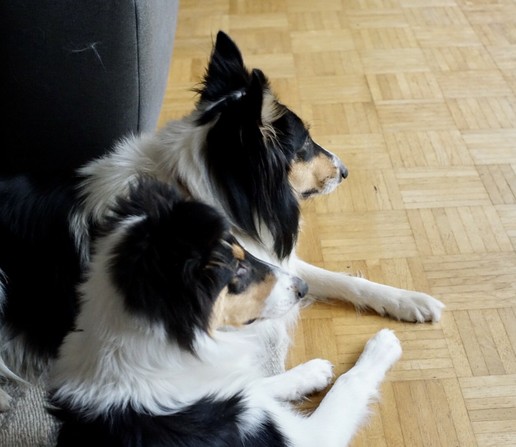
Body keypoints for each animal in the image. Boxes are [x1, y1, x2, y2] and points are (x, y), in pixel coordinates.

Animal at [49, 178, 404, 447]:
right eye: (238, 270)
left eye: (244, 250)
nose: (302, 287)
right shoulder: (306, 437)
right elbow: (349, 382)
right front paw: (382, 346)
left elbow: (259, 384)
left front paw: (309, 372)